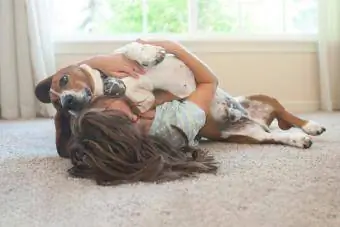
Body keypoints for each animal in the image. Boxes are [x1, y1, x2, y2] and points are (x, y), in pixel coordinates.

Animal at [34, 41, 326, 158]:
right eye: (57, 104)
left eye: (63, 80)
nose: (68, 102)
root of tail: (256, 121)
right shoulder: (147, 100)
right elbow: (137, 96)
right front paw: (118, 86)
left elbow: (131, 48)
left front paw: (148, 55)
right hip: (252, 136)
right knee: (278, 135)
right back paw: (298, 138)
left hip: (262, 97)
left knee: (288, 115)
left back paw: (312, 126)